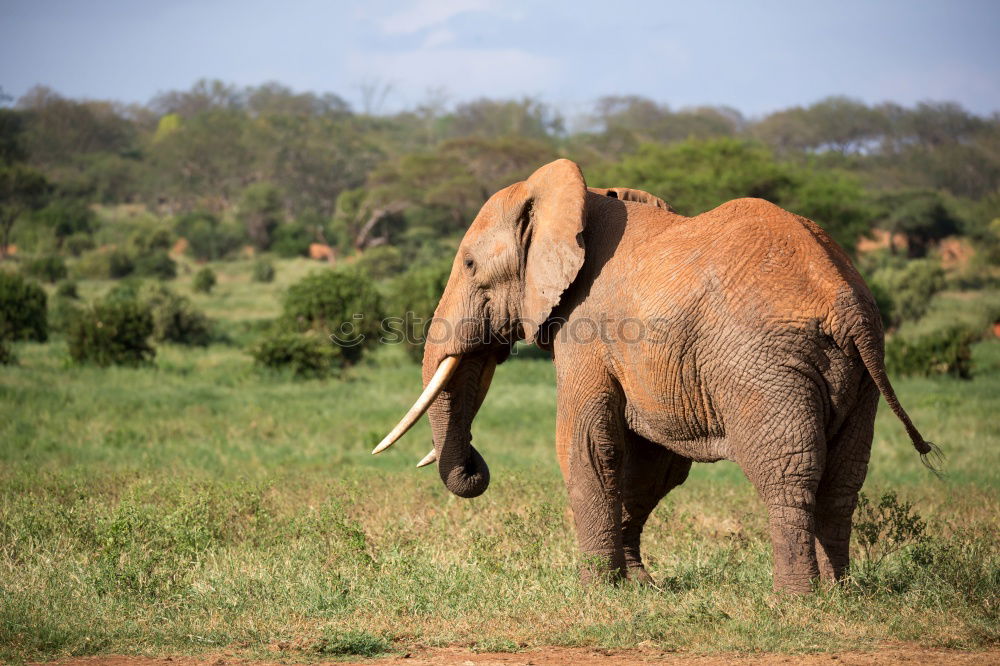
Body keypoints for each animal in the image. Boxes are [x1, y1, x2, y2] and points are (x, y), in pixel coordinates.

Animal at [374, 157, 936, 592]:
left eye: (470, 265)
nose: (474, 465)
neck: (578, 199)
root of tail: (845, 301)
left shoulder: (586, 326)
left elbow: (586, 444)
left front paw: (596, 591)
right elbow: (650, 463)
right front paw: (640, 587)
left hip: (765, 365)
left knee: (786, 471)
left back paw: (796, 600)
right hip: (857, 375)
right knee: (844, 478)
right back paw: (839, 594)